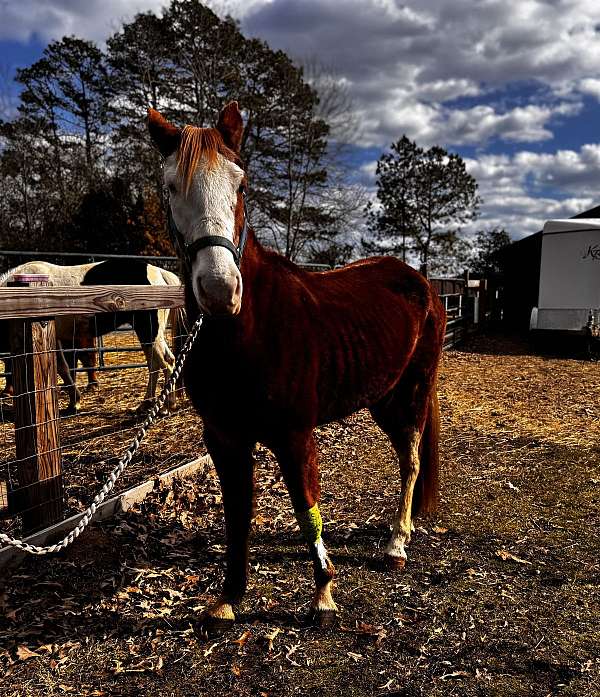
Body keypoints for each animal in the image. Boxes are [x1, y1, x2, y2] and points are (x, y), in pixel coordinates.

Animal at [146, 106, 446, 628]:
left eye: (242, 183)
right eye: (170, 187)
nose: (220, 291)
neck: (247, 331)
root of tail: (420, 281)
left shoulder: (295, 435)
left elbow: (307, 508)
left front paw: (323, 593)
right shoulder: (223, 437)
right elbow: (237, 513)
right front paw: (229, 596)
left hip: (412, 392)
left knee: (409, 461)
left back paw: (396, 541)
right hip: (382, 397)